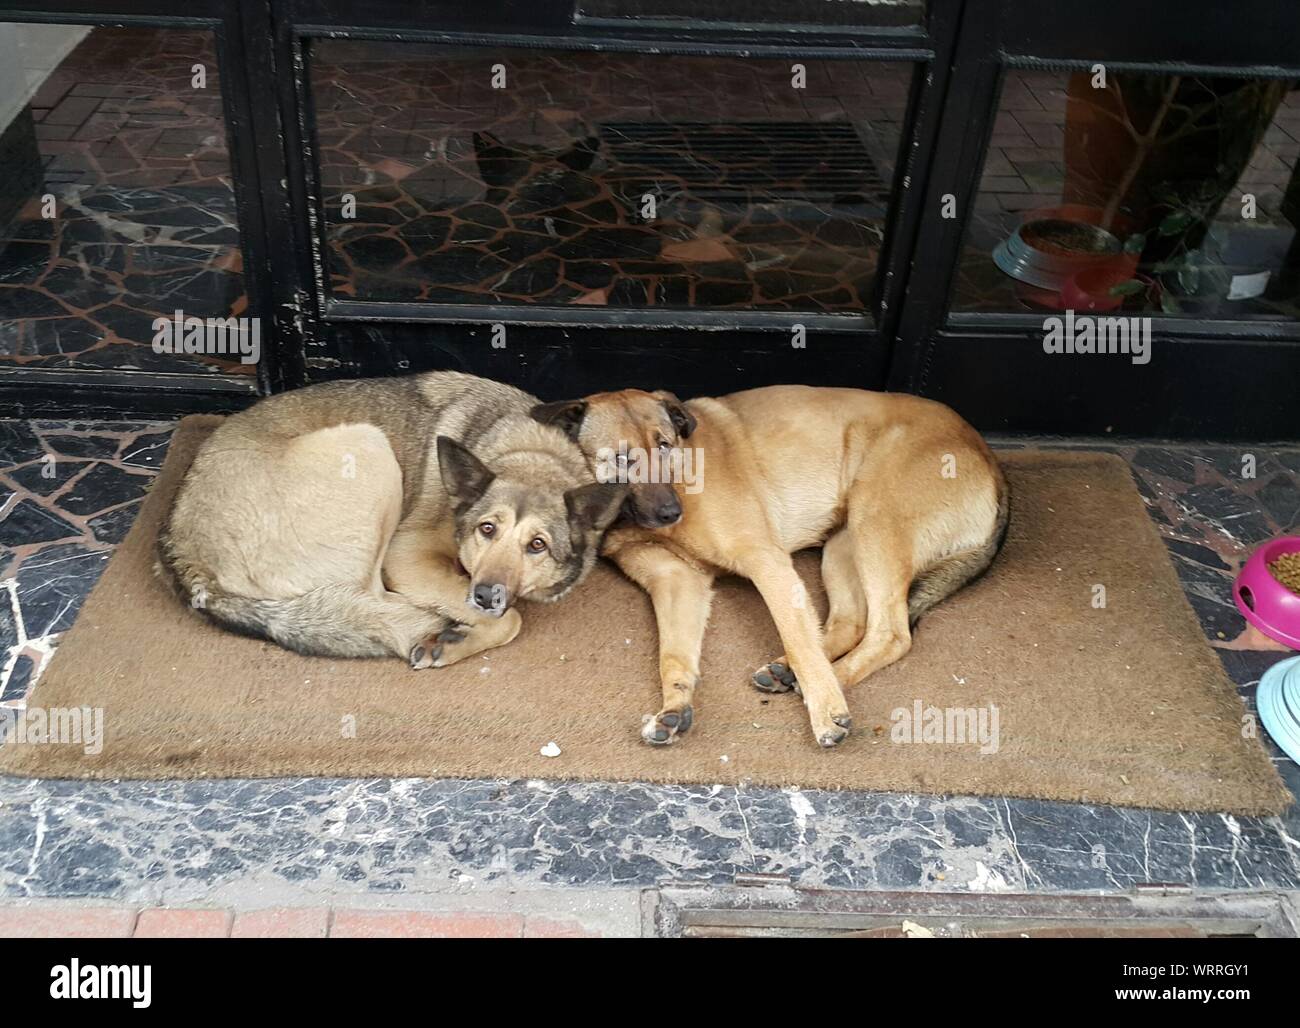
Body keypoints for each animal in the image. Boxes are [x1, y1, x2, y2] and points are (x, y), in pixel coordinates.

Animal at [533, 384, 1008, 748]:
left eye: (664, 445)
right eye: (620, 458)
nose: (671, 512)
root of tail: (987, 454)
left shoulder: (766, 560)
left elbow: (797, 636)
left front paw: (826, 710)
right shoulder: (677, 579)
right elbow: (673, 656)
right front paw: (675, 706)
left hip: (876, 521)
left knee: (890, 633)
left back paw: (828, 685)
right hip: (843, 544)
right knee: (850, 621)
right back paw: (787, 672)